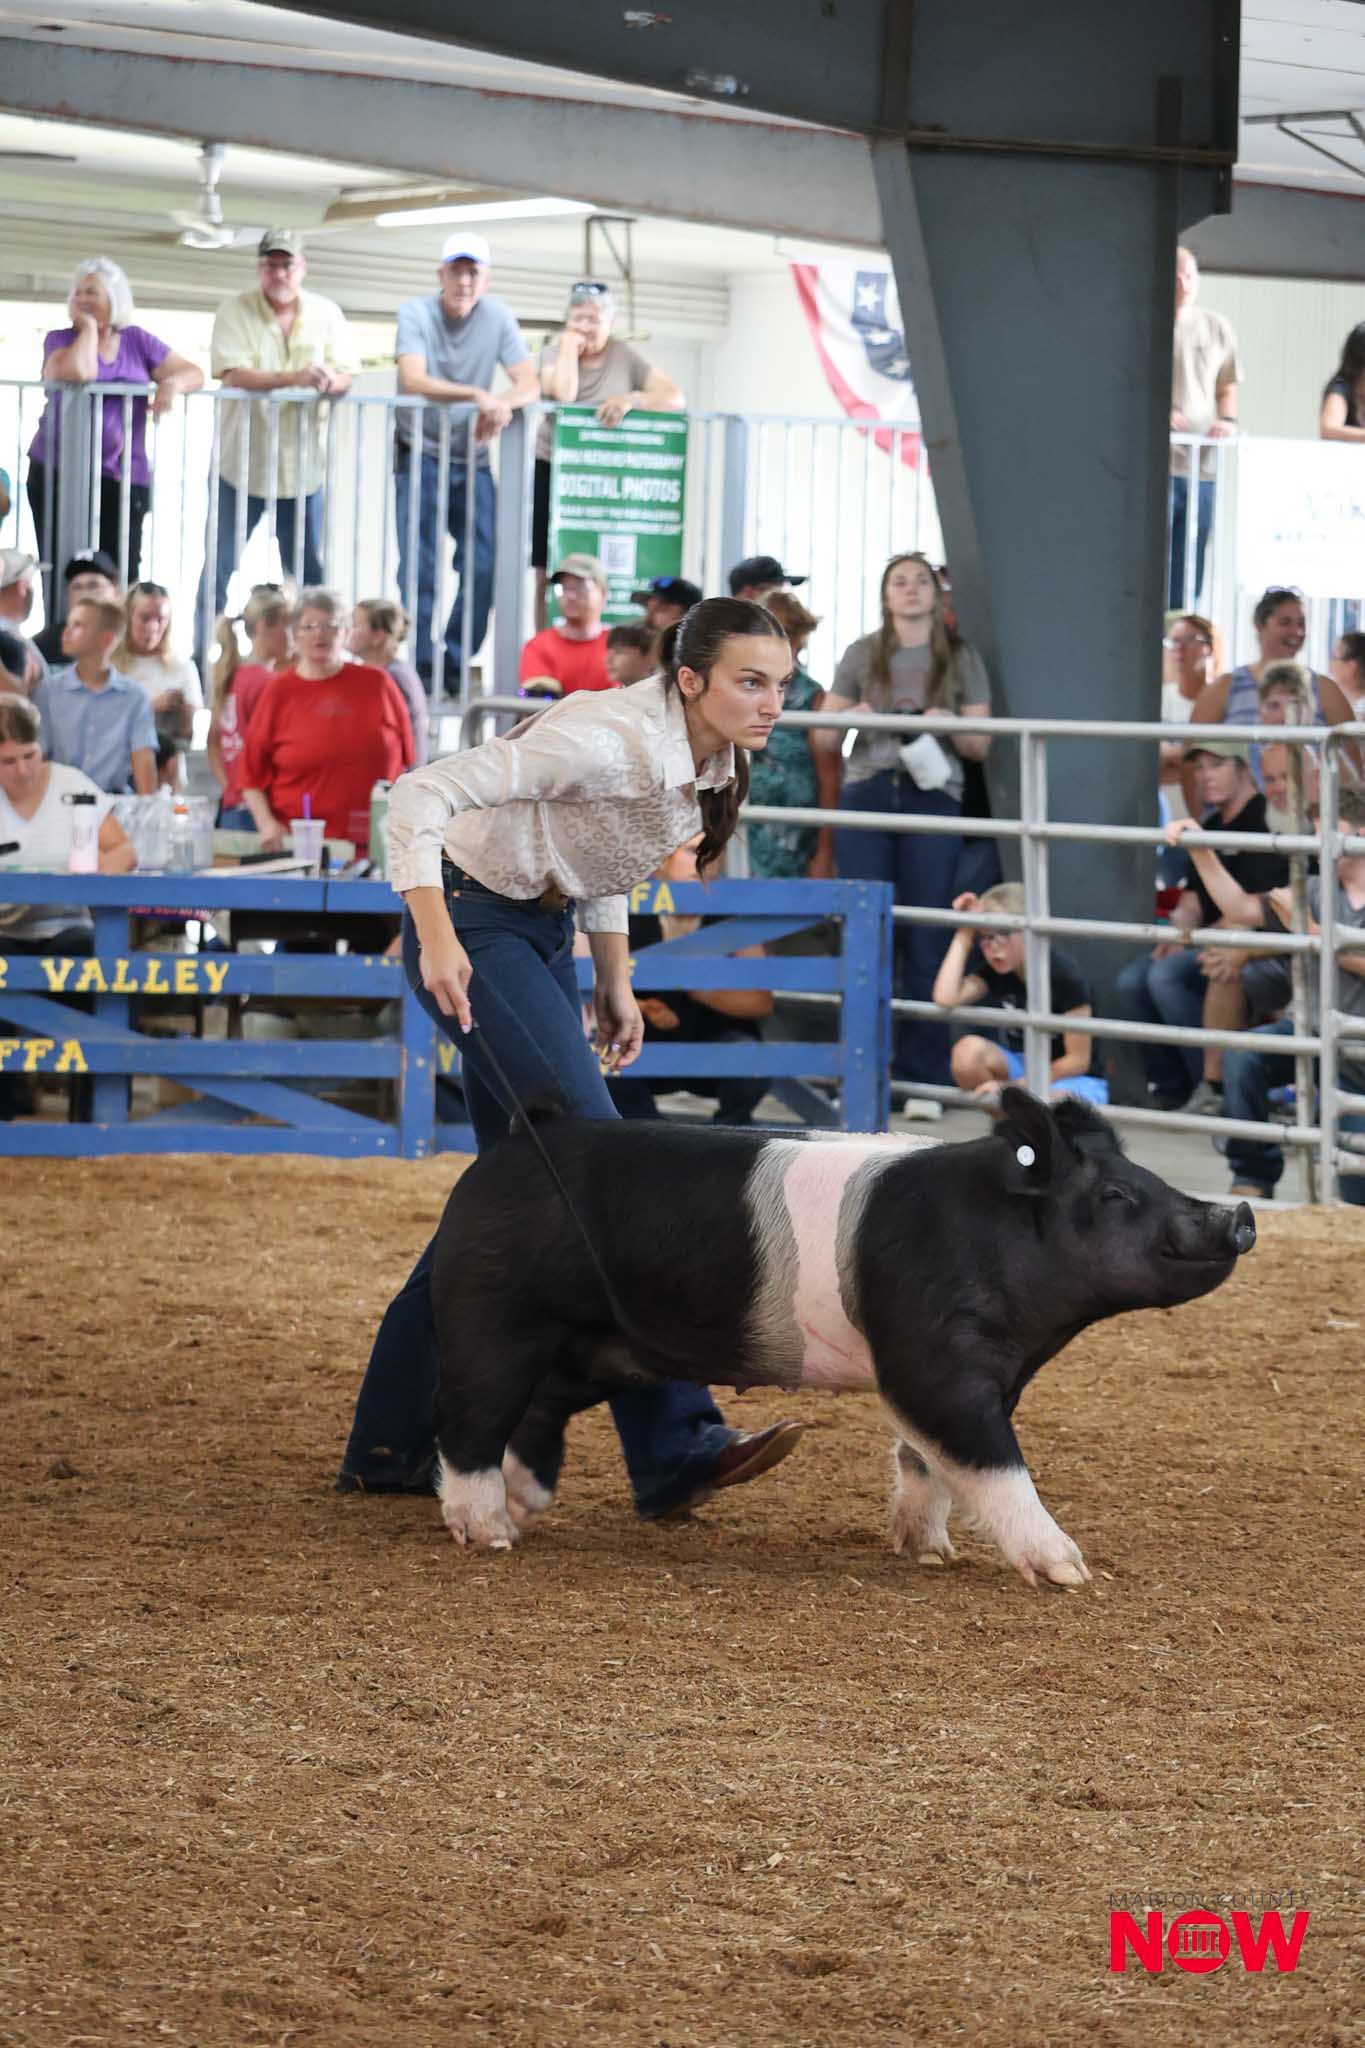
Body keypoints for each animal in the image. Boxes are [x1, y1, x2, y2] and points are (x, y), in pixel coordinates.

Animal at [427, 1087, 1255, 1585]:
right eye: (1115, 1194)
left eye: (1152, 1179)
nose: (1237, 1212)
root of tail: (521, 1135)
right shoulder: (931, 1361)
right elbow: (992, 1464)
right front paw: (1072, 1573)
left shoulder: (978, 1374)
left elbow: (927, 1461)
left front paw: (928, 1553)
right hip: (494, 1311)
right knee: (468, 1423)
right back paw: (490, 1534)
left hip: (600, 1346)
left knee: (535, 1412)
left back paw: (524, 1507)